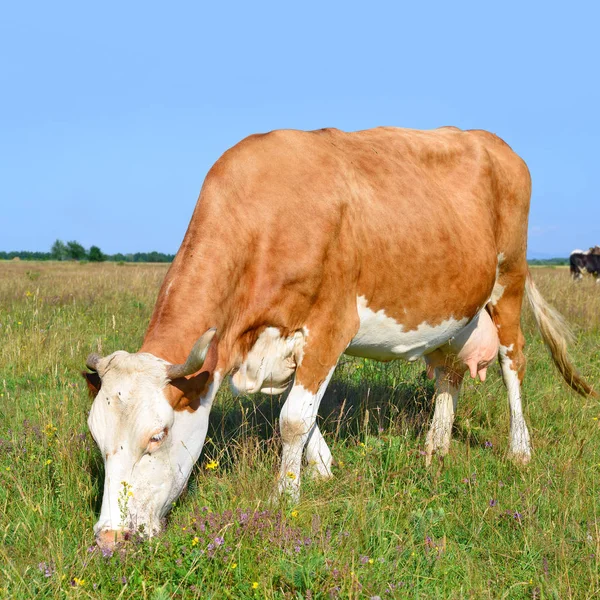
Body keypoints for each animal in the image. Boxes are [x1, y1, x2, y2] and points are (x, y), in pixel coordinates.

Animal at [84, 129, 596, 552]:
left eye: (157, 435)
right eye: (96, 436)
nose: (109, 539)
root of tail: (495, 143)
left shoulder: (331, 324)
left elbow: (293, 420)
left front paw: (284, 497)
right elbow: (301, 413)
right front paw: (324, 469)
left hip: (508, 281)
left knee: (514, 363)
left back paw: (519, 451)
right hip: (456, 308)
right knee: (449, 373)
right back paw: (436, 448)